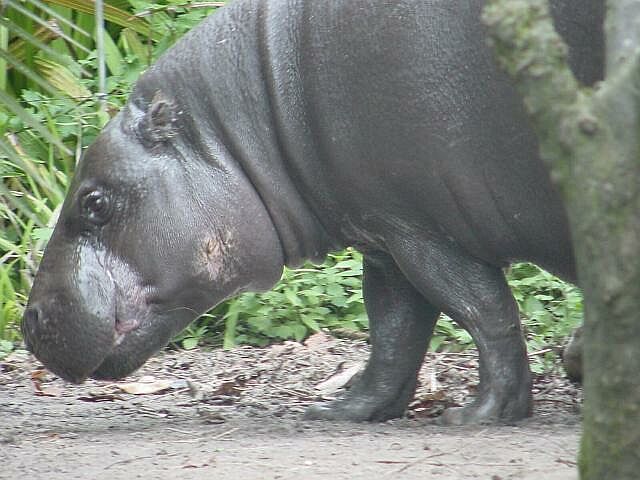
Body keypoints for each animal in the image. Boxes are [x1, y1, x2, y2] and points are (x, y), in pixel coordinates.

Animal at [20, 0, 604, 424]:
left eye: (94, 202)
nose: (28, 321)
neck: (249, 119)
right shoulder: (387, 230)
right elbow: (393, 332)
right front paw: (341, 411)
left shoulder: (426, 233)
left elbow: (483, 312)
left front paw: (477, 416)